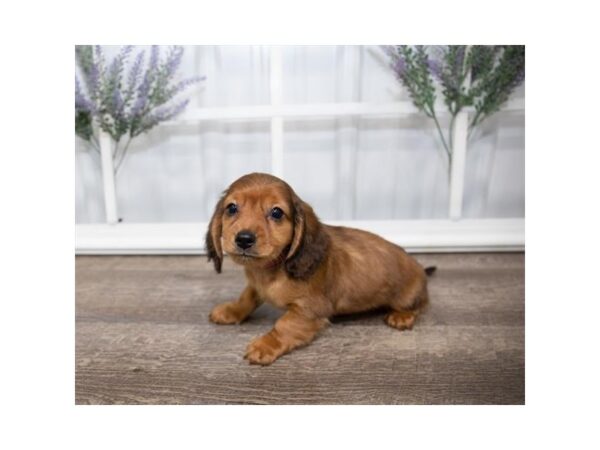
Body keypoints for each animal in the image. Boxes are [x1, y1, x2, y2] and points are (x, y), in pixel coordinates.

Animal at [206, 172, 432, 366]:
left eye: (276, 212)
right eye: (231, 208)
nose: (244, 239)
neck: (273, 269)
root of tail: (421, 271)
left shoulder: (310, 310)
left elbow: (284, 326)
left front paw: (266, 345)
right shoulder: (256, 286)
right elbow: (247, 297)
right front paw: (232, 310)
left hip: (408, 296)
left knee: (420, 305)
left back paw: (402, 316)